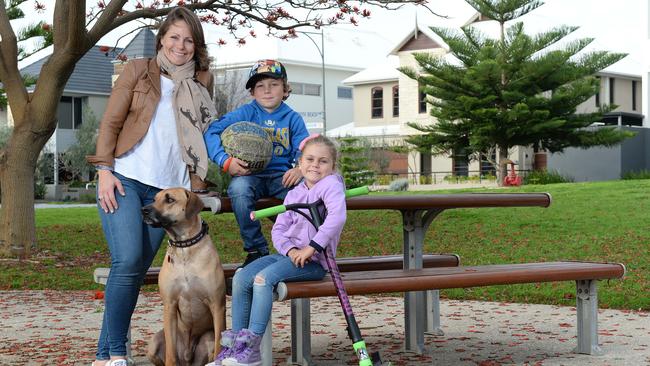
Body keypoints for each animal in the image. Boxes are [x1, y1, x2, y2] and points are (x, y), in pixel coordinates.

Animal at [141, 189, 225, 366]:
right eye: (154, 199)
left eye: (169, 199)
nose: (143, 210)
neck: (184, 246)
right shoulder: (170, 305)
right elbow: (170, 353)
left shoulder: (217, 305)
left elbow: (220, 345)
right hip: (154, 342)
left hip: (208, 337)